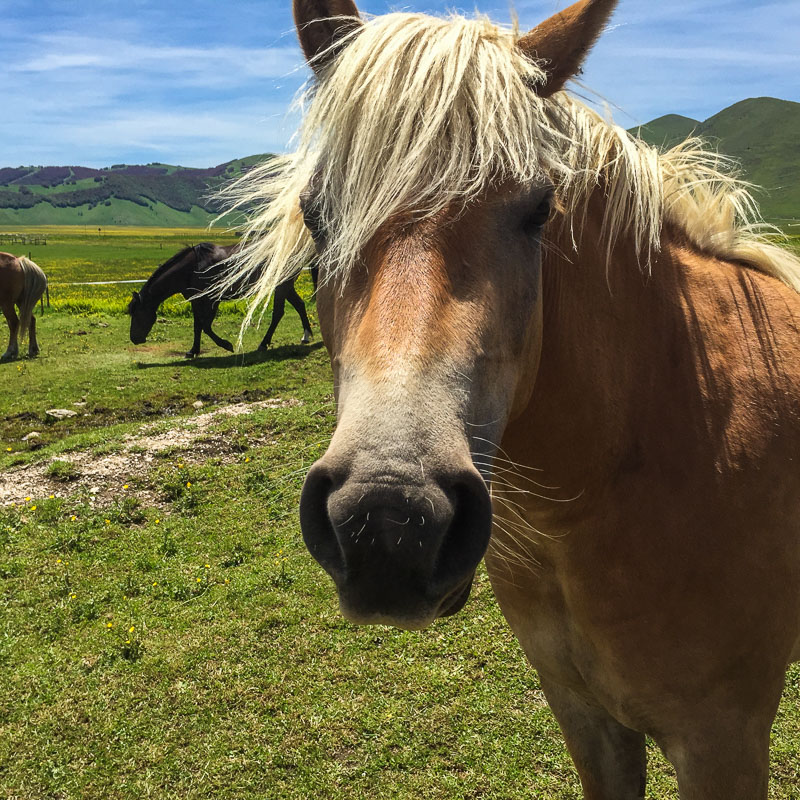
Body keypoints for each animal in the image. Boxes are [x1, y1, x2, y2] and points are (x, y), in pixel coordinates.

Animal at [126, 242, 318, 358]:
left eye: (136, 314)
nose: (134, 339)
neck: (191, 268)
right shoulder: (196, 301)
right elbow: (198, 326)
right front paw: (193, 351)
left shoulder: (212, 299)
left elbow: (205, 326)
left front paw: (226, 345)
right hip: (285, 286)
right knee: (299, 305)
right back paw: (306, 336)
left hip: (282, 285)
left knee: (278, 313)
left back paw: (264, 344)